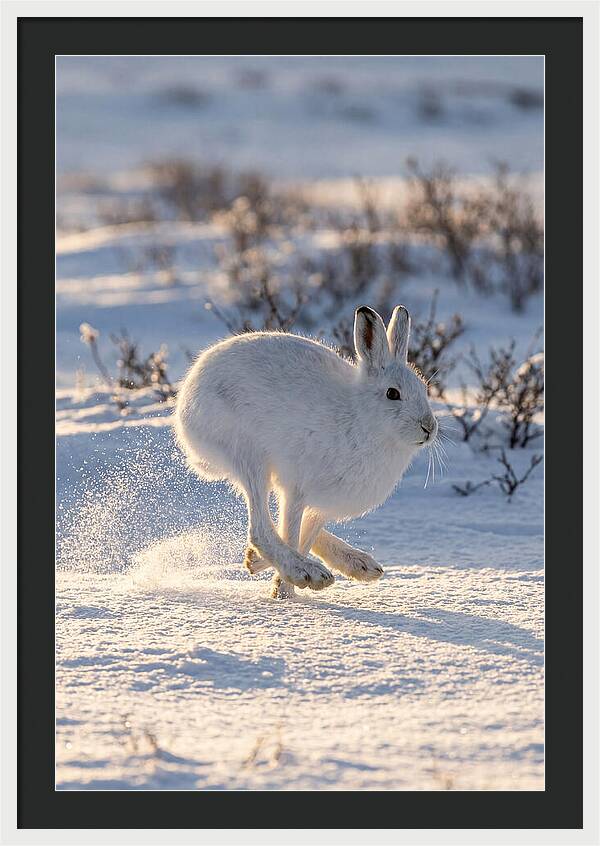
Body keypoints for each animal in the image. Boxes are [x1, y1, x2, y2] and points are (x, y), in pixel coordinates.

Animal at [174, 305, 438, 598]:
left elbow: (305, 535)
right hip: (248, 455)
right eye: (393, 393)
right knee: (260, 528)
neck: (362, 419)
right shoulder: (298, 489)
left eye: (424, 388)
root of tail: (186, 399)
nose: (429, 427)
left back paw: (357, 565)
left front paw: (277, 582)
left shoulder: (322, 504)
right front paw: (286, 592)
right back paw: (305, 571)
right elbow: (291, 533)